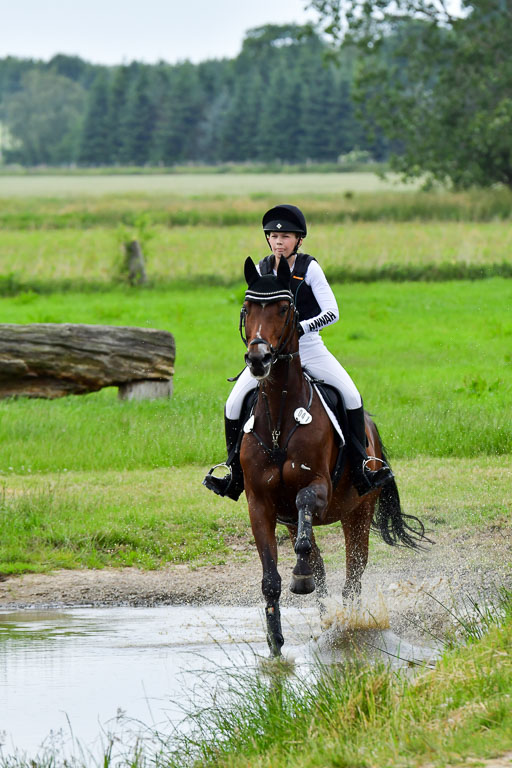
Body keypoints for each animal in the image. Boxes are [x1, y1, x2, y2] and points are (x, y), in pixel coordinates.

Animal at [238, 256, 428, 656]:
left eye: (284, 308)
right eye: (248, 308)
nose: (258, 359)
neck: (280, 417)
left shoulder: (318, 489)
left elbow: (306, 510)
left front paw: (300, 578)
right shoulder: (261, 504)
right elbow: (271, 578)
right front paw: (275, 642)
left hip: (358, 513)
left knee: (353, 574)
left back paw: (348, 625)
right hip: (294, 518)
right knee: (321, 566)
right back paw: (325, 615)